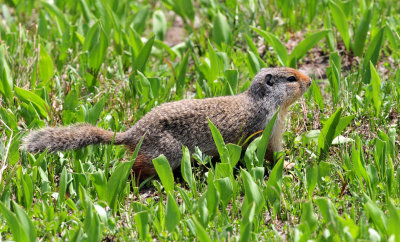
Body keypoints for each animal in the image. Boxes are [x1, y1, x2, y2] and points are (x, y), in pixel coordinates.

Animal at [21, 68, 310, 178]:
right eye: (291, 78)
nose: (310, 82)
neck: (265, 102)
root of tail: (132, 133)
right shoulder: (264, 127)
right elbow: (267, 153)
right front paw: (285, 165)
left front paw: (289, 161)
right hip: (166, 152)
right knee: (138, 165)